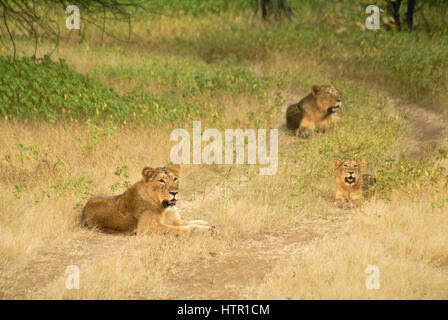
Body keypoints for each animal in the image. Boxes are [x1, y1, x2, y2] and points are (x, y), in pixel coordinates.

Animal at [80, 165, 215, 235]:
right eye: (161, 180)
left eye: (175, 179)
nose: (174, 192)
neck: (164, 208)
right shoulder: (148, 227)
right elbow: (182, 229)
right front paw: (206, 230)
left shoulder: (175, 220)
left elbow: (189, 222)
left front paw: (207, 224)